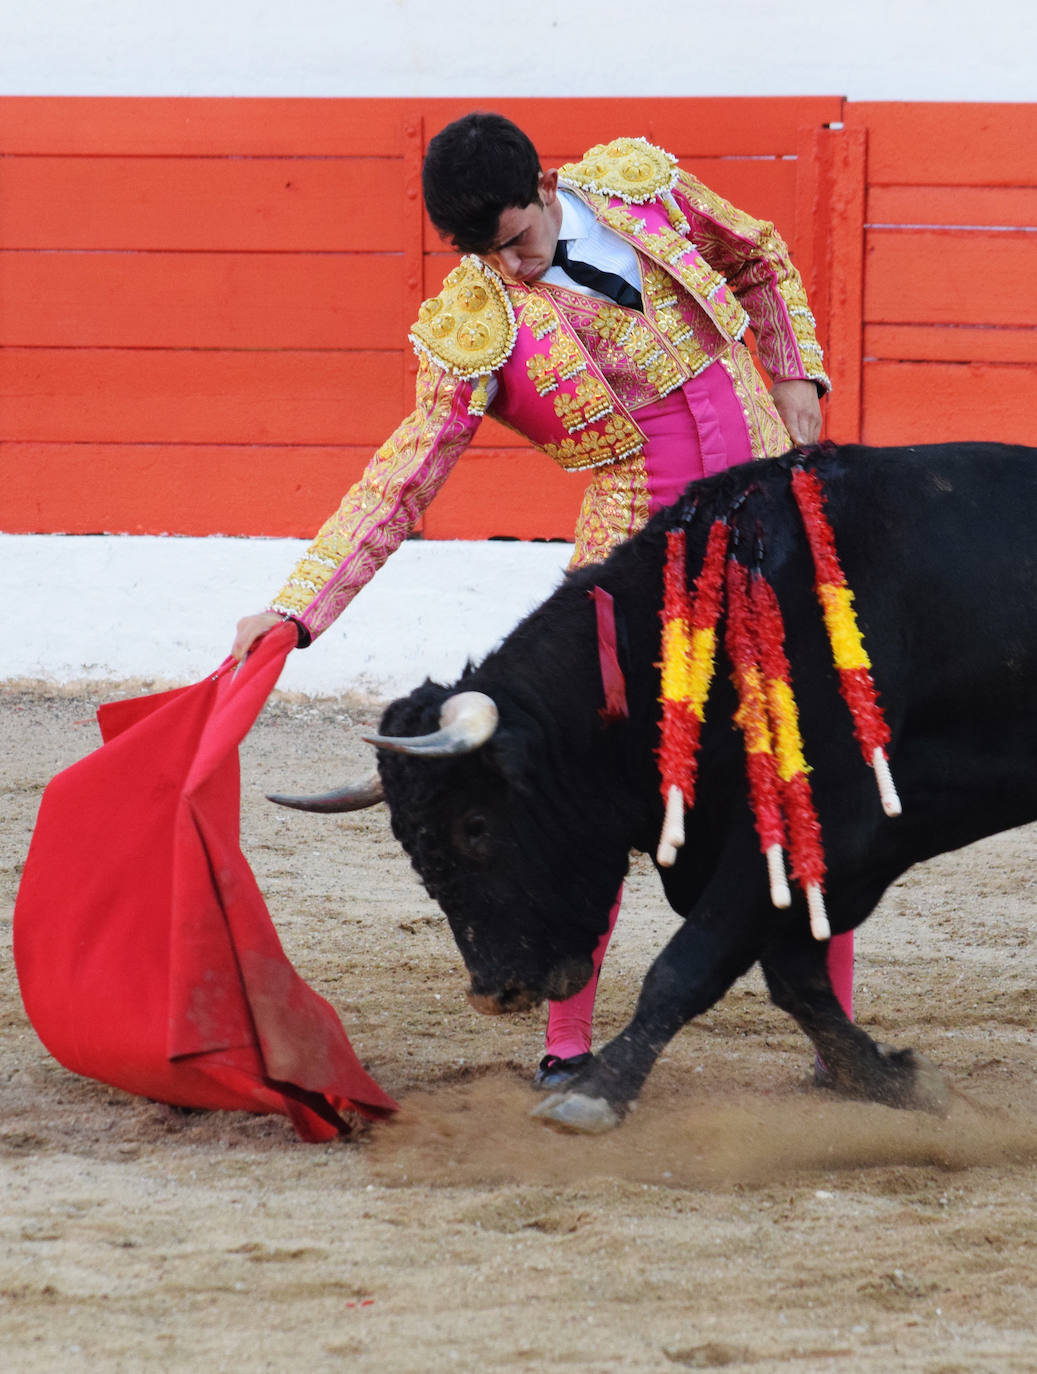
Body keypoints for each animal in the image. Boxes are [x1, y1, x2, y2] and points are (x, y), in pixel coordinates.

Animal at [273, 445, 1037, 1132]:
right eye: (410, 844)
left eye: (476, 827)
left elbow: (691, 961)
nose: (495, 993)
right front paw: (899, 1080)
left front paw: (596, 1094)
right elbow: (796, 978)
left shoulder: (808, 824)